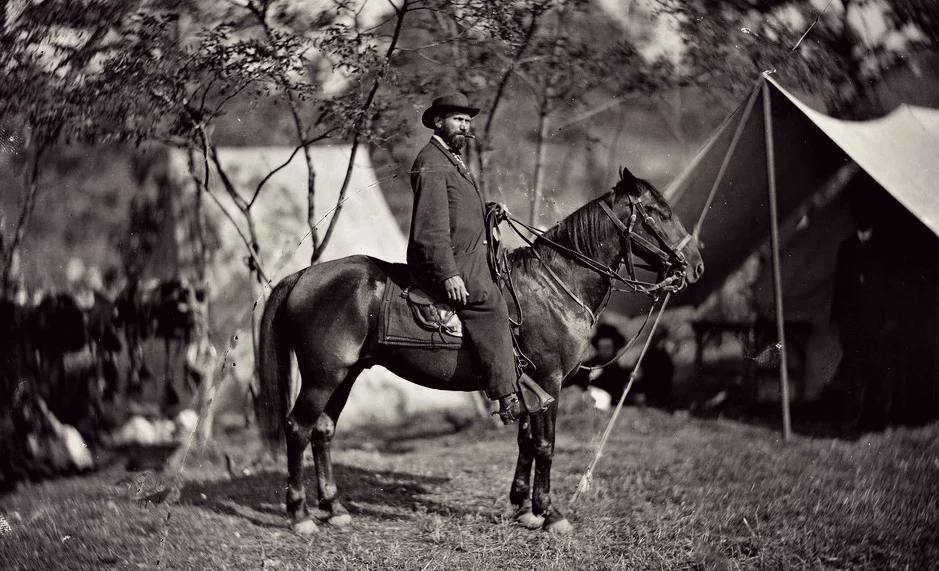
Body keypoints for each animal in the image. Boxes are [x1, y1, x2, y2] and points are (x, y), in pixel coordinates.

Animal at [253, 166, 700, 536]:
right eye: (658, 212)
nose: (695, 266)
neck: (554, 284)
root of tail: (303, 275)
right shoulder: (548, 380)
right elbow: (545, 445)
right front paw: (550, 513)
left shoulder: (529, 386)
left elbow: (525, 441)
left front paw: (523, 508)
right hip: (321, 377)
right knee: (298, 429)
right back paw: (301, 515)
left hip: (344, 376)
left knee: (322, 432)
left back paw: (334, 508)